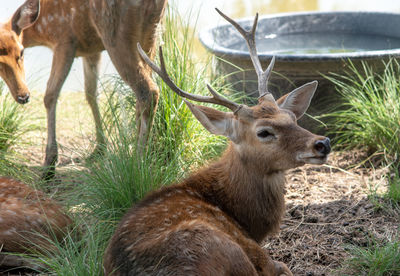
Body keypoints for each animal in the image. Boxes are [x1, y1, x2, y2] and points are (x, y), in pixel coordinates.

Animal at [0, 0, 167, 179]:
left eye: (21, 52)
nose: (23, 96)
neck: (43, 31)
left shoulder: (65, 40)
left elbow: (50, 95)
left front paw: (49, 165)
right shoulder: (91, 50)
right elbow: (91, 93)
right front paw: (99, 148)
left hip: (115, 33)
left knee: (149, 91)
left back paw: (139, 162)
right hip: (150, 35)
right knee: (142, 95)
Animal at [103, 9, 332, 276]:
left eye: (292, 118)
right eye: (264, 132)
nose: (322, 143)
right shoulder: (253, 249)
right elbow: (280, 266)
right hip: (218, 246)